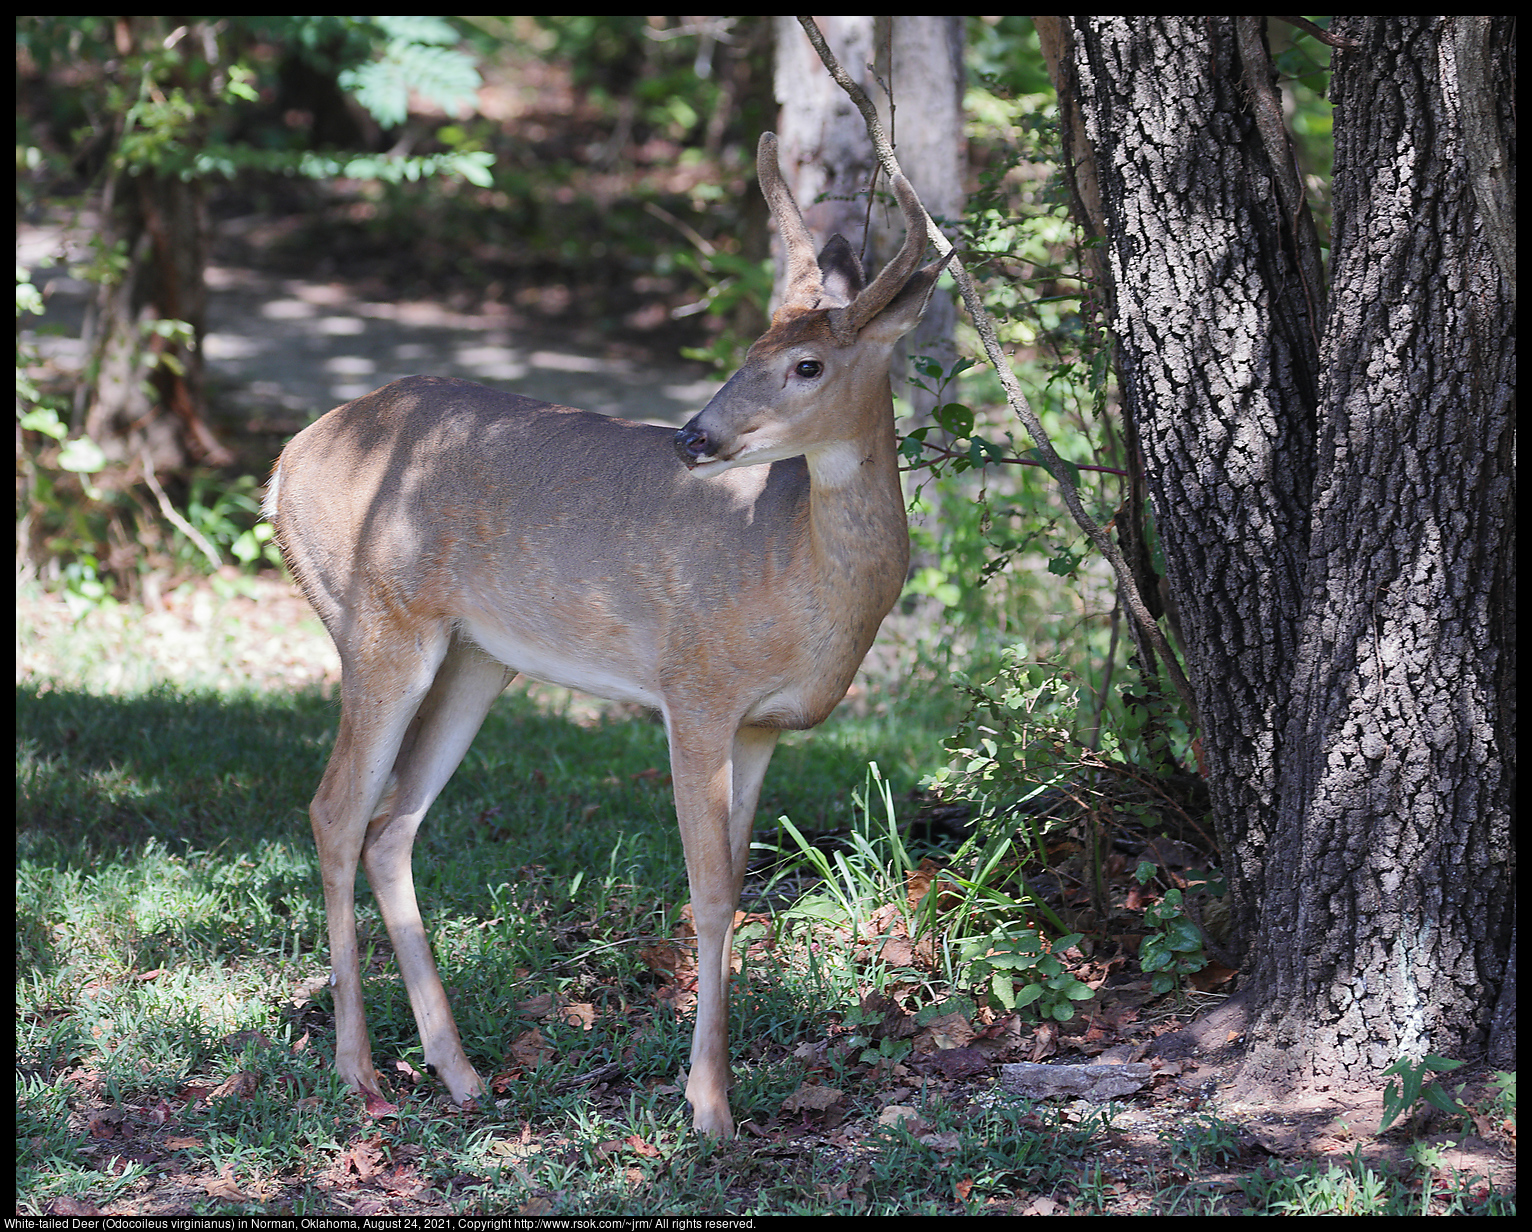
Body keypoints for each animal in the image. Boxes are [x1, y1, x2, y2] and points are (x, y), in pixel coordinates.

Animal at [263, 132, 943, 1133]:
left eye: (807, 366)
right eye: (749, 347)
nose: (694, 437)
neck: (792, 565)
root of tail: (283, 464)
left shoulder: (764, 726)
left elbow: (737, 886)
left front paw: (708, 1088)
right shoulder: (694, 689)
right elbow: (708, 895)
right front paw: (709, 1107)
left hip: (477, 657)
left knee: (392, 825)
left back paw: (459, 1071)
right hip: (378, 622)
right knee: (335, 808)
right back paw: (359, 1071)